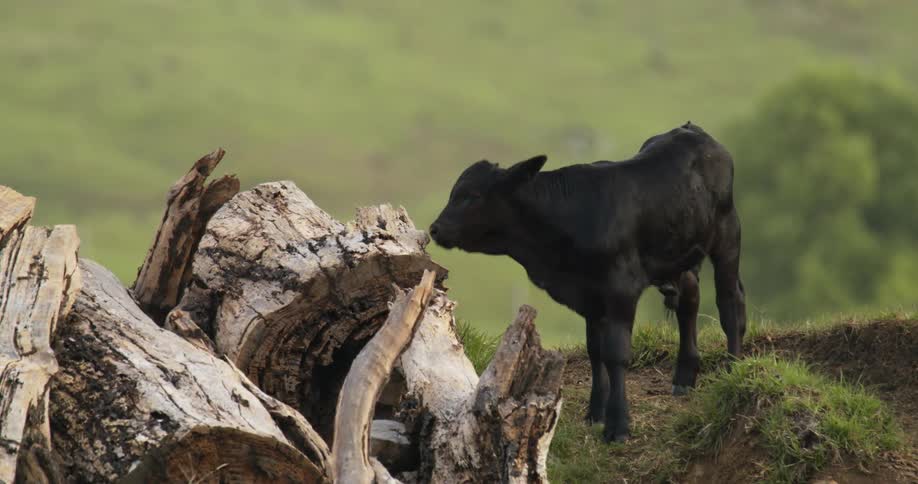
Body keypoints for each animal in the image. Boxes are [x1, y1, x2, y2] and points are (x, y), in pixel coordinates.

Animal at [429, 122, 747, 443]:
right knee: (689, 301)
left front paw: (618, 424)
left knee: (730, 300)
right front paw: (595, 412)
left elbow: (616, 353)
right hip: (682, 251)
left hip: (727, 236)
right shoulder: (589, 296)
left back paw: (733, 368)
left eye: (472, 195)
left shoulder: (621, 289)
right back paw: (684, 376)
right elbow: (595, 350)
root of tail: (692, 130)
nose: (435, 229)